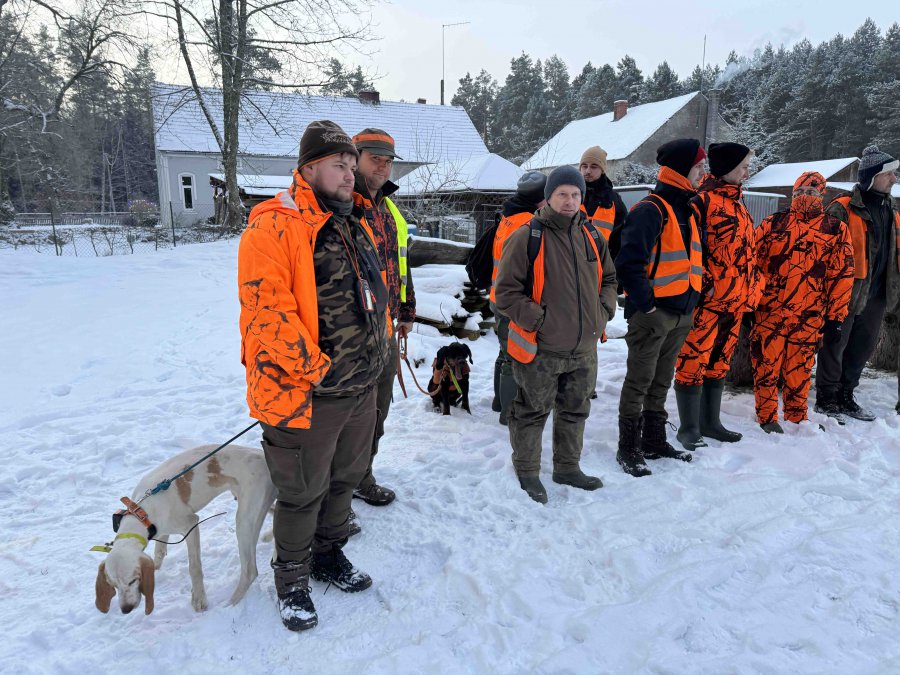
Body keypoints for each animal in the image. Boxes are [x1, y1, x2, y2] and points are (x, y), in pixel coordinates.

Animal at [94, 444, 276, 615]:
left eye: (132, 581)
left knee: (250, 570)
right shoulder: (162, 530)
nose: (126, 609)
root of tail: (260, 453)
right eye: (114, 585)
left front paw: (199, 598)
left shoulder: (190, 526)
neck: (141, 512)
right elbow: (159, 552)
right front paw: (156, 570)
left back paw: (230, 603)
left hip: (244, 520)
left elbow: (194, 567)